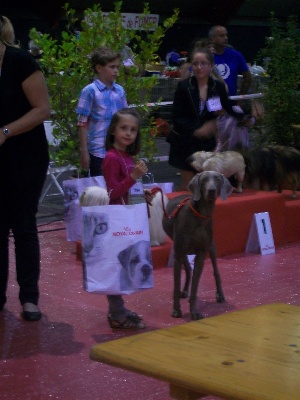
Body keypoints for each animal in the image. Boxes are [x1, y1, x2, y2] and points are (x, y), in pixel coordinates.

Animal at [163, 170, 233, 320]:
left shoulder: (201, 254)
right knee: (187, 269)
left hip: (212, 247)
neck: (201, 215)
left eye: (218, 179)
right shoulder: (179, 253)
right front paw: (176, 310)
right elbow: (176, 285)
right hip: (180, 249)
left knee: (215, 271)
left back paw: (220, 294)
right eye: (204, 180)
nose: (212, 191)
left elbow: (195, 286)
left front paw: (194, 311)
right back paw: (184, 291)